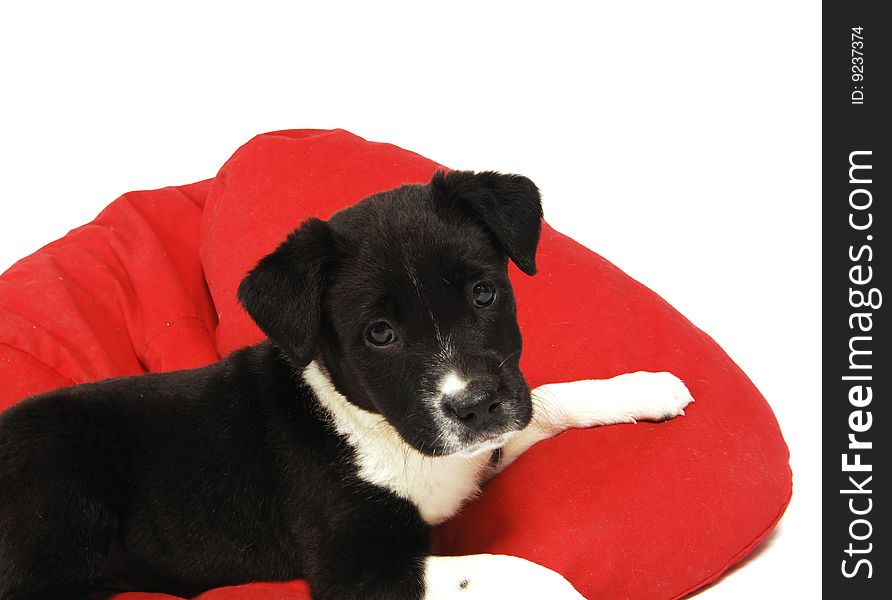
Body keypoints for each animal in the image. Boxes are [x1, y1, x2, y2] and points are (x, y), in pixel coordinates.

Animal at [0, 170, 696, 600]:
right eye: (379, 334)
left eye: (484, 293)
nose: (474, 406)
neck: (376, 429)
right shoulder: (361, 570)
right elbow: (502, 570)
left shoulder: (480, 443)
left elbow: (546, 402)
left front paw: (644, 386)